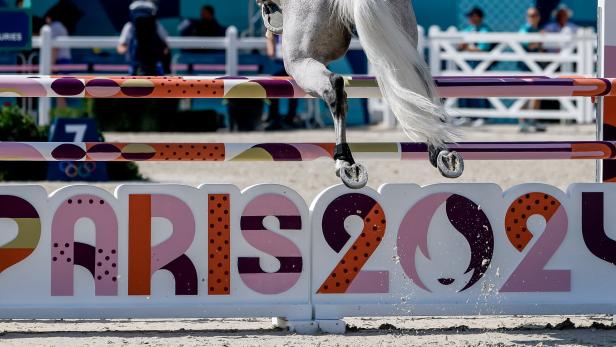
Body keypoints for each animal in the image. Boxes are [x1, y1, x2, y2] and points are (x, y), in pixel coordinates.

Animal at [258, 0, 462, 188]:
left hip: (298, 58)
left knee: (335, 88)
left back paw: (345, 162)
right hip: (400, 35)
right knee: (418, 83)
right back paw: (441, 151)